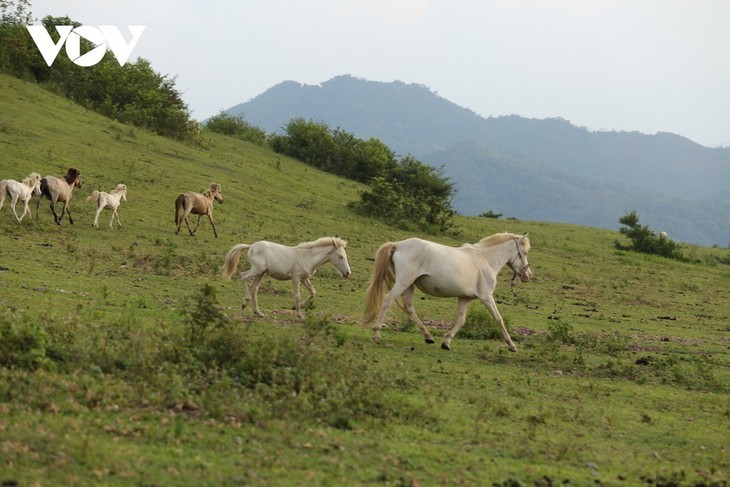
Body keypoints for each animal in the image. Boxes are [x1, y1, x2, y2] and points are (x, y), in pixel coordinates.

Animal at [220, 237, 352, 320]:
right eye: (340, 256)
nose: (347, 273)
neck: (307, 257)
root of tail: (251, 246)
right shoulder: (296, 278)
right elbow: (297, 296)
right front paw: (300, 315)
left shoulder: (304, 278)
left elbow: (312, 292)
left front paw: (297, 308)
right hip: (257, 269)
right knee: (243, 276)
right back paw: (244, 303)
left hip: (261, 272)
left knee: (254, 288)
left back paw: (258, 313)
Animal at [362, 234, 528, 352]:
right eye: (525, 252)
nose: (528, 275)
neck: (485, 260)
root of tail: (398, 245)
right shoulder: (487, 297)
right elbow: (499, 319)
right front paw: (512, 345)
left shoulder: (464, 298)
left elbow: (461, 320)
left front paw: (446, 342)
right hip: (403, 282)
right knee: (387, 301)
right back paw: (376, 334)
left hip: (409, 285)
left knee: (409, 308)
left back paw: (428, 337)